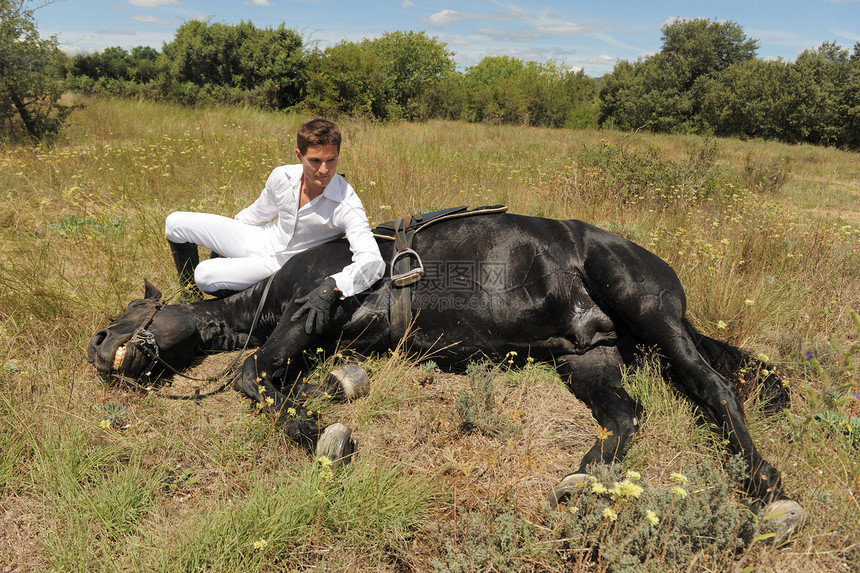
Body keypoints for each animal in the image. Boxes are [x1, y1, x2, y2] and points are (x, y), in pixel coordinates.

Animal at [87, 211, 808, 528]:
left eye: (129, 311)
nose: (96, 348)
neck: (271, 291)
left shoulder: (315, 301)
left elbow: (249, 377)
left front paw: (327, 434)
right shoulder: (327, 337)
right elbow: (290, 377)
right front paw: (332, 402)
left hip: (651, 313)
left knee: (715, 387)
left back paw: (767, 488)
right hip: (587, 355)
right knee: (628, 414)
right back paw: (584, 477)